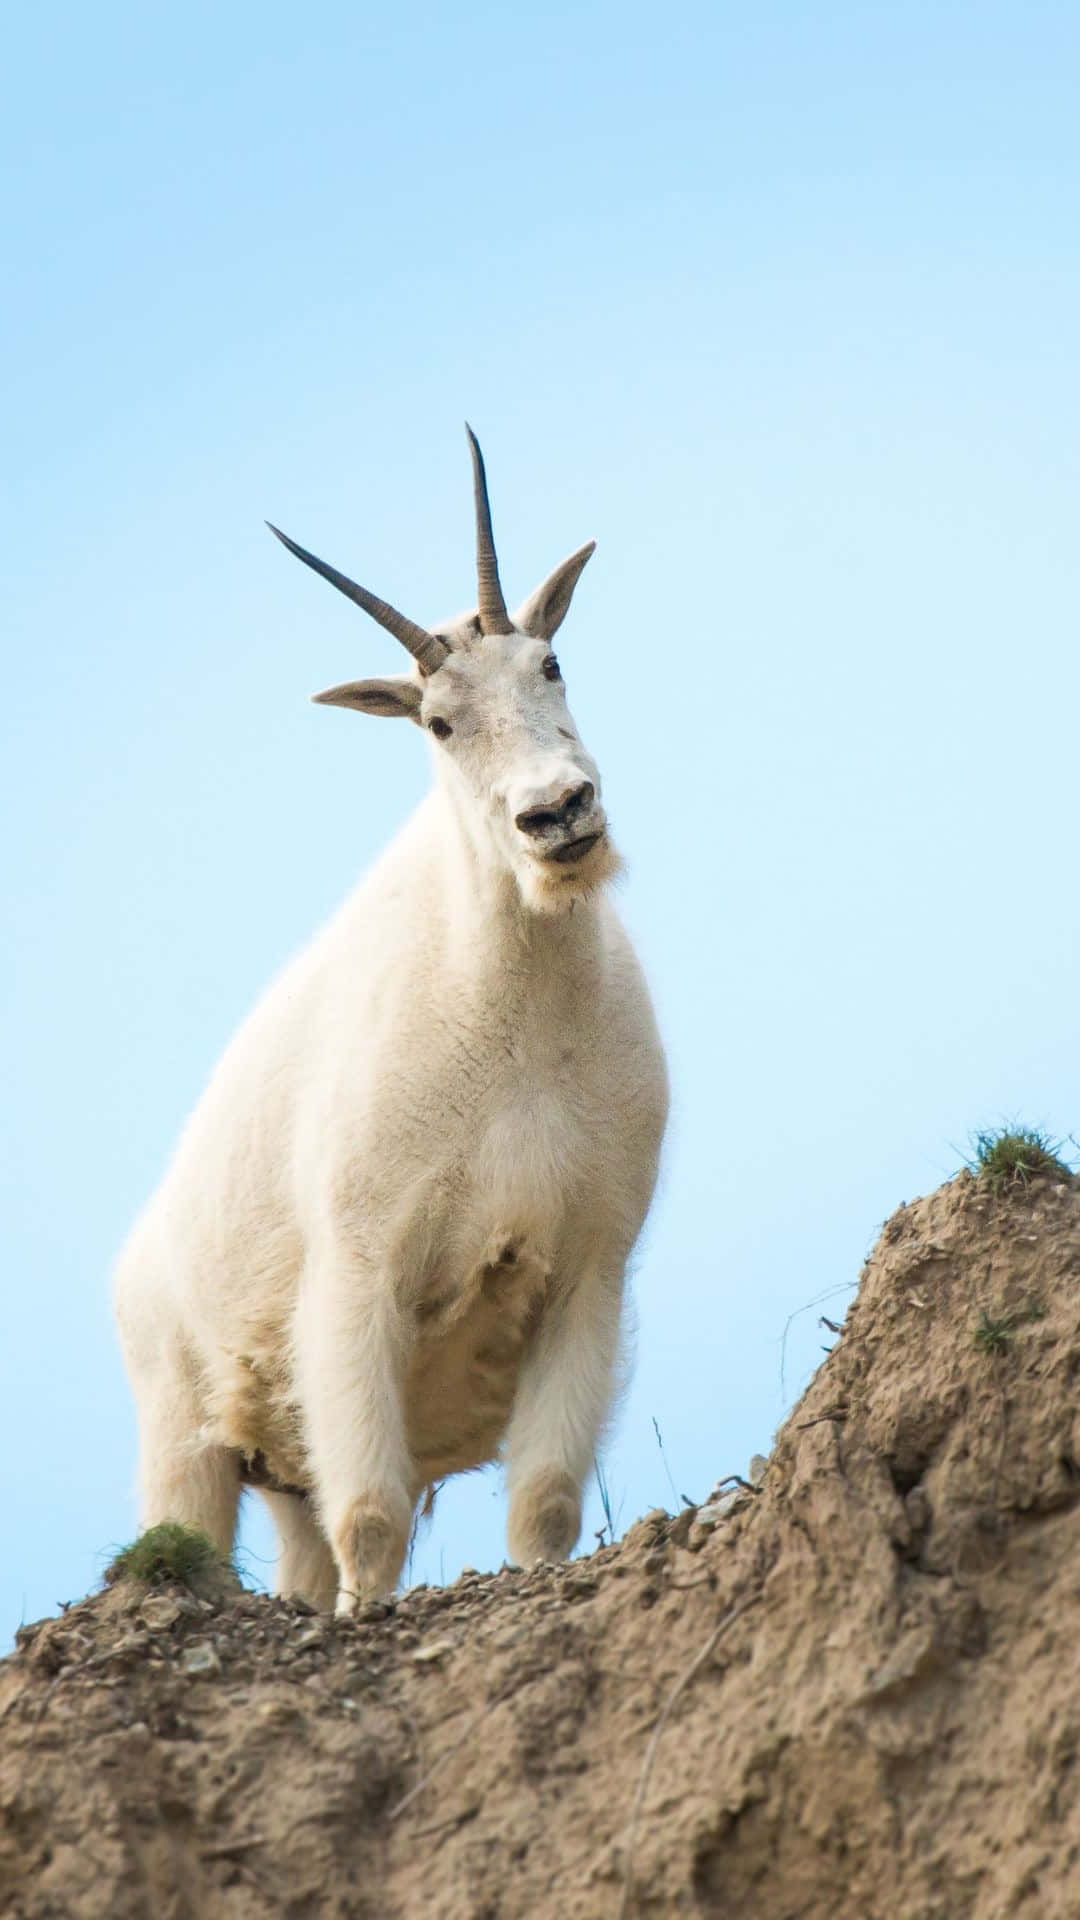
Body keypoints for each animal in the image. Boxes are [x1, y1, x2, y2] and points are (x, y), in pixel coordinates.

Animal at [114, 429, 669, 1611]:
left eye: (550, 664)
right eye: (439, 722)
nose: (558, 814)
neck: (514, 1021)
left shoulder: (590, 1267)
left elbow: (545, 1503)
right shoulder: (357, 1275)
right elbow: (372, 1517)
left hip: (280, 1470)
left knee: (299, 1551)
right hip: (183, 1430)